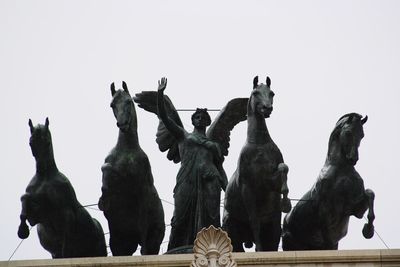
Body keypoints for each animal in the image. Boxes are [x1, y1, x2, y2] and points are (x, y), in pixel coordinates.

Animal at [99, 81, 166, 255]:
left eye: (129, 101)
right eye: (112, 104)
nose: (122, 124)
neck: (127, 149)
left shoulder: (142, 194)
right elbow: (106, 169)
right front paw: (103, 199)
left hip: (153, 241)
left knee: (146, 248)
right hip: (121, 242)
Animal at [222, 76, 290, 252]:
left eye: (272, 93)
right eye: (255, 93)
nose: (267, 109)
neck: (259, 145)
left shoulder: (270, 182)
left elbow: (283, 168)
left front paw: (286, 201)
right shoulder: (248, 189)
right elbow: (254, 221)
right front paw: (259, 249)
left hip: (272, 226)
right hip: (231, 229)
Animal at [282, 113, 376, 251]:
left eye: (362, 135)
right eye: (348, 132)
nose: (353, 159)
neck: (341, 170)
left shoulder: (356, 209)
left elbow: (370, 193)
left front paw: (368, 230)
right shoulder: (325, 212)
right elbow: (328, 235)